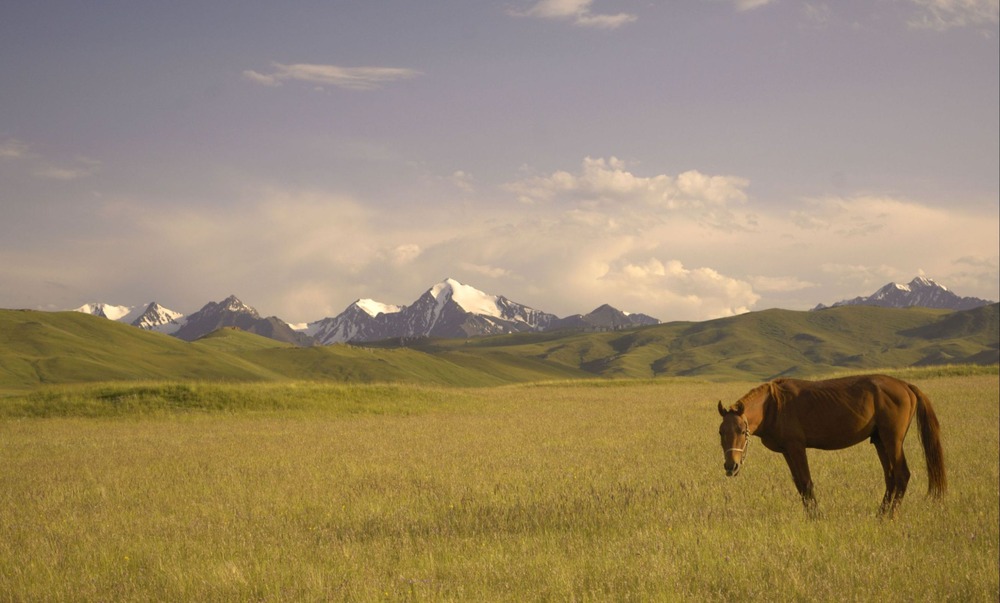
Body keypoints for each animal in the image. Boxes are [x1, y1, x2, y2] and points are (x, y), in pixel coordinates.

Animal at [720, 376, 944, 516]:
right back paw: (880, 515)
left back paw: (891, 516)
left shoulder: (797, 447)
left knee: (902, 474)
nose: (731, 466)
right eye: (721, 432)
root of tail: (906, 386)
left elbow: (806, 483)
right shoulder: (787, 451)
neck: (773, 405)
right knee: (890, 477)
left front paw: (816, 516)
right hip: (880, 441)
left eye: (742, 431)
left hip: (892, 440)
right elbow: (799, 485)